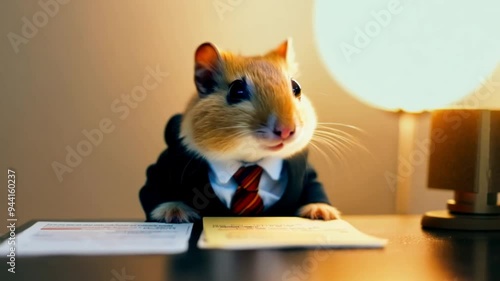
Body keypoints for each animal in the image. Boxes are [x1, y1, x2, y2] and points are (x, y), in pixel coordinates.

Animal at [139, 39, 342, 222]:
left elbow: (314, 184)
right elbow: (152, 185)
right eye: (236, 90)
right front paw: (174, 213)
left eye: (296, 87)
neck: (249, 161)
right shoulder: (166, 162)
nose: (287, 130)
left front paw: (322, 213)